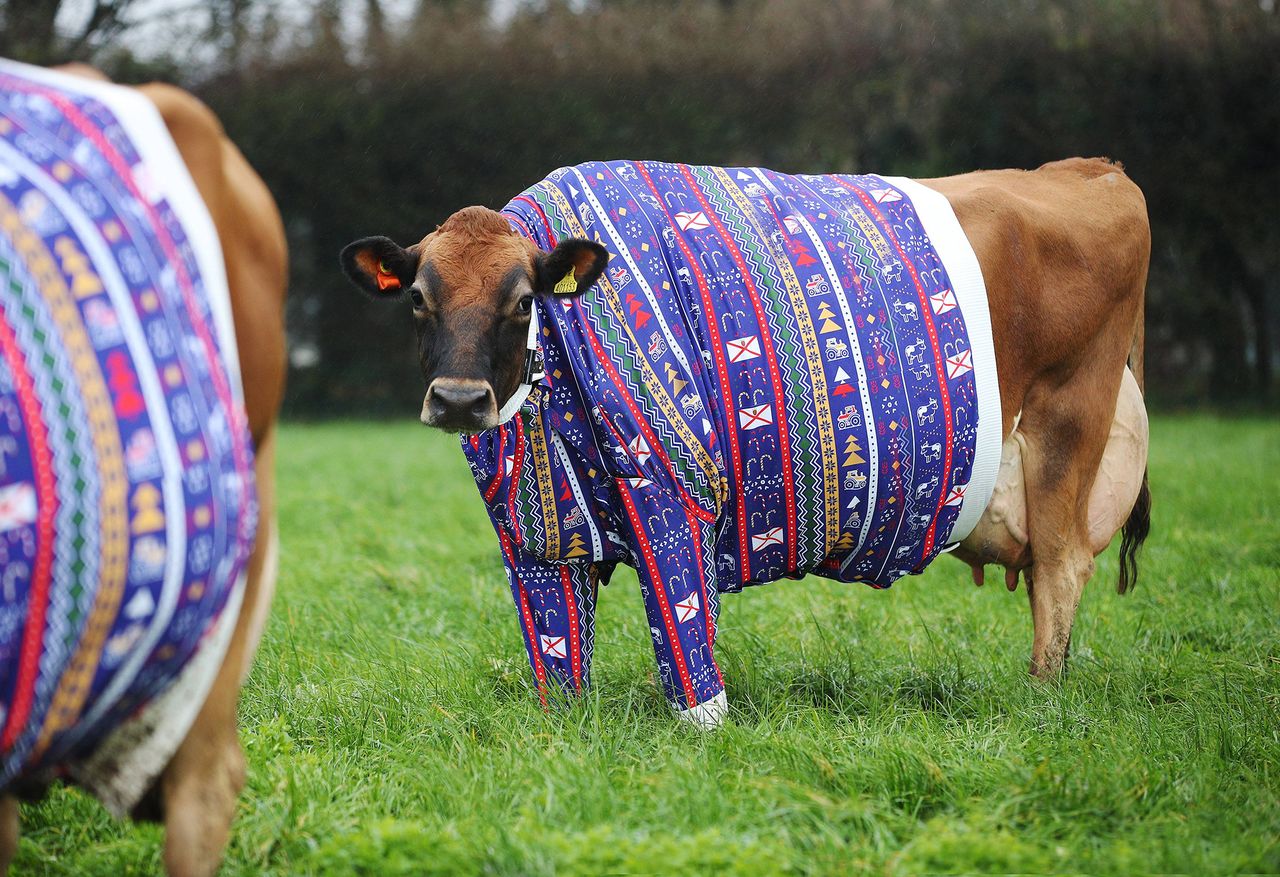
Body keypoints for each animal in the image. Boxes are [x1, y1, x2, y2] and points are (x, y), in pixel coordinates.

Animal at [340, 157, 1152, 727]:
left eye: (519, 301)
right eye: (419, 299)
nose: (458, 400)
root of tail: (1090, 168)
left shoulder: (675, 491)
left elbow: (684, 632)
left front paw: (702, 725)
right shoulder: (535, 529)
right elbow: (558, 655)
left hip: (1068, 423)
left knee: (1060, 567)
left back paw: (1041, 696)